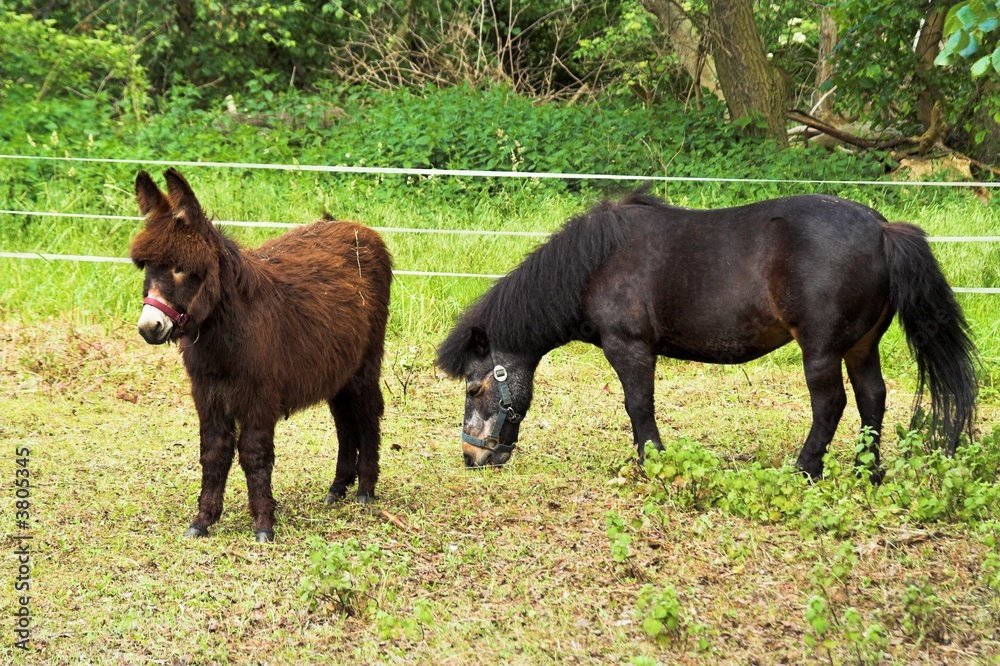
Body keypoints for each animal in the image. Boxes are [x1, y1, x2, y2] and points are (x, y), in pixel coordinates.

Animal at [130, 169, 392, 542]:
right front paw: (203, 520)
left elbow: (255, 455)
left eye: (182, 267)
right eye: (146, 268)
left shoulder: (258, 396)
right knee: (344, 420)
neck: (228, 333)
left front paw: (264, 524)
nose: (149, 327)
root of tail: (359, 228)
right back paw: (338, 488)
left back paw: (365, 491)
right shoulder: (208, 394)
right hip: (336, 367)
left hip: (365, 362)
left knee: (368, 414)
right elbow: (213, 453)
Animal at [437, 190, 977, 480]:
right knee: (872, 399)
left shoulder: (629, 348)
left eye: (473, 387)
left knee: (832, 406)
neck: (594, 265)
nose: (471, 456)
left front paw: (653, 462)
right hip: (861, 347)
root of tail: (883, 229)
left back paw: (806, 468)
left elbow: (639, 406)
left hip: (822, 350)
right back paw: (867, 471)